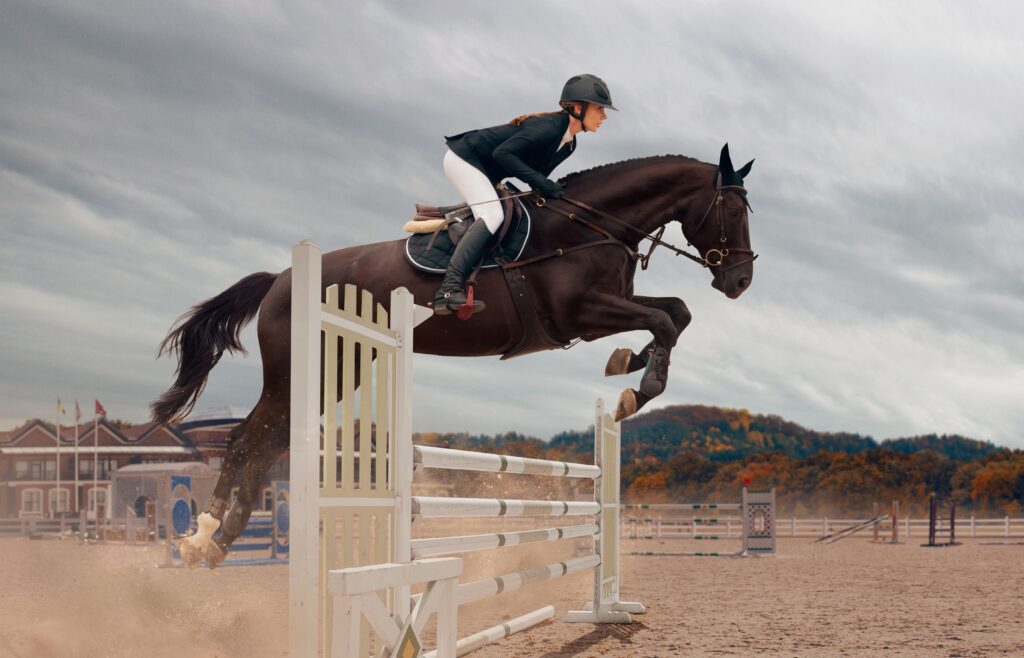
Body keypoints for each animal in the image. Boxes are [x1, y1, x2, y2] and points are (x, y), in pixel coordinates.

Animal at [153, 144, 756, 567]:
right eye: (731, 211)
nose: (741, 281)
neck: (591, 224)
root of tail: (280, 277)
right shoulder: (581, 311)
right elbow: (665, 319)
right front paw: (637, 387)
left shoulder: (606, 309)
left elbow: (676, 313)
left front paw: (629, 365)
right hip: (298, 372)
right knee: (244, 441)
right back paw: (204, 538)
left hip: (336, 371)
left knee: (265, 444)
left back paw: (214, 541)